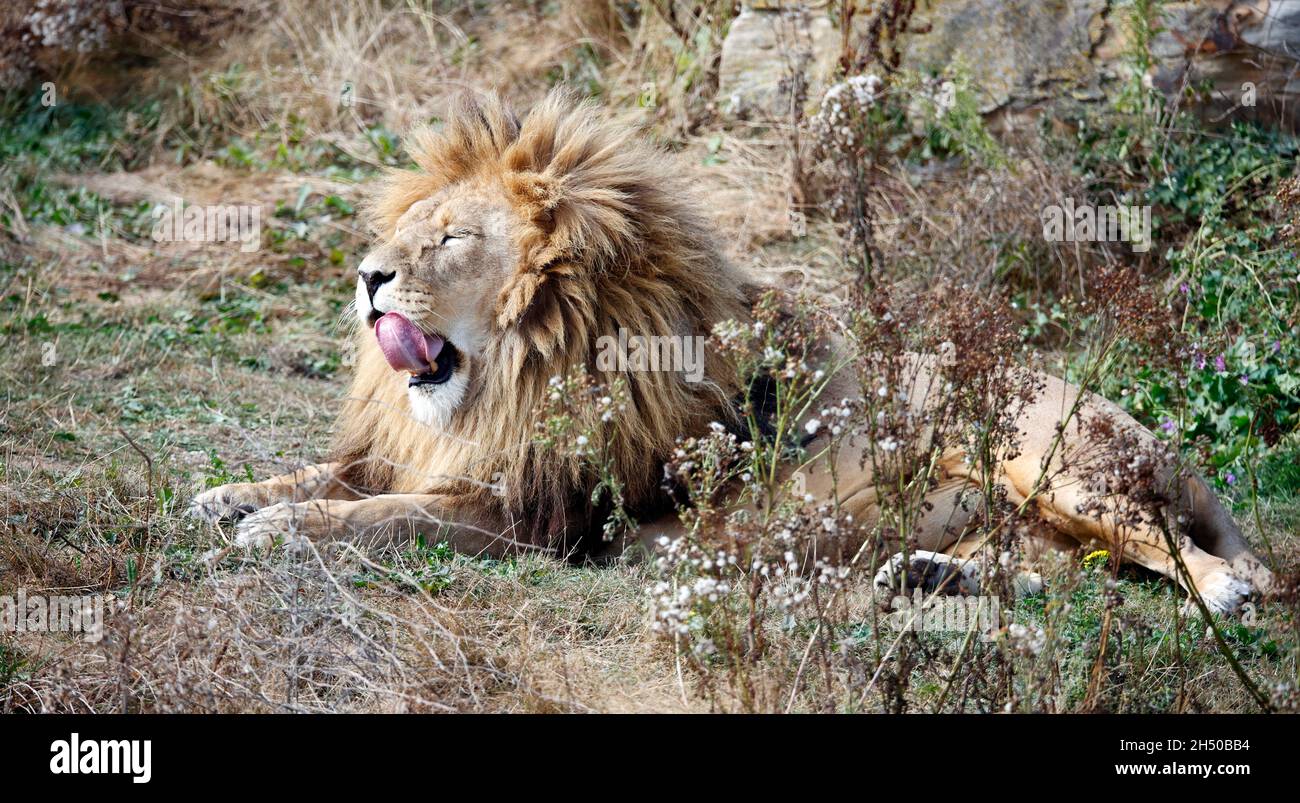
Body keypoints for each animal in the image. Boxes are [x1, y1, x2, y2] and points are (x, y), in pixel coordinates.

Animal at [189, 89, 1272, 614]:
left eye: (451, 238)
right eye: (411, 229)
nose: (368, 277)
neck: (511, 374)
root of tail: (1165, 443)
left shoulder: (537, 516)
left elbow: (382, 518)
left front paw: (280, 532)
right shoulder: (421, 449)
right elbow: (330, 474)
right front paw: (231, 496)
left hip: (1041, 456)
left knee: (1168, 550)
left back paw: (1226, 590)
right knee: (1060, 568)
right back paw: (932, 577)